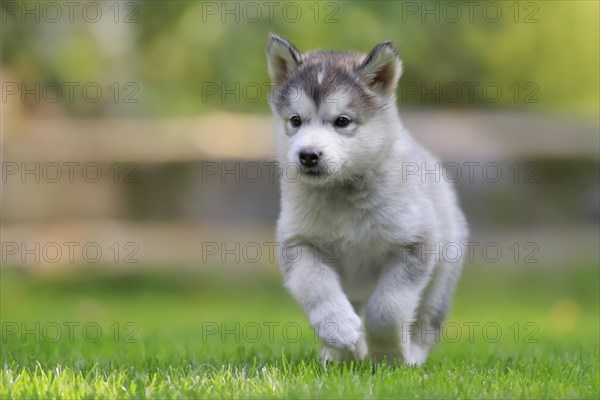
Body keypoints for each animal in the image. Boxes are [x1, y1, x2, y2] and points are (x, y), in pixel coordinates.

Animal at [268, 34, 468, 366]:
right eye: (295, 120)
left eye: (342, 121)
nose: (308, 155)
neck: (343, 194)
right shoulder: (298, 242)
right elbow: (315, 286)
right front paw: (339, 328)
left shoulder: (415, 243)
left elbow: (387, 310)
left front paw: (390, 355)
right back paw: (340, 354)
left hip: (440, 278)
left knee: (425, 322)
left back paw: (412, 355)